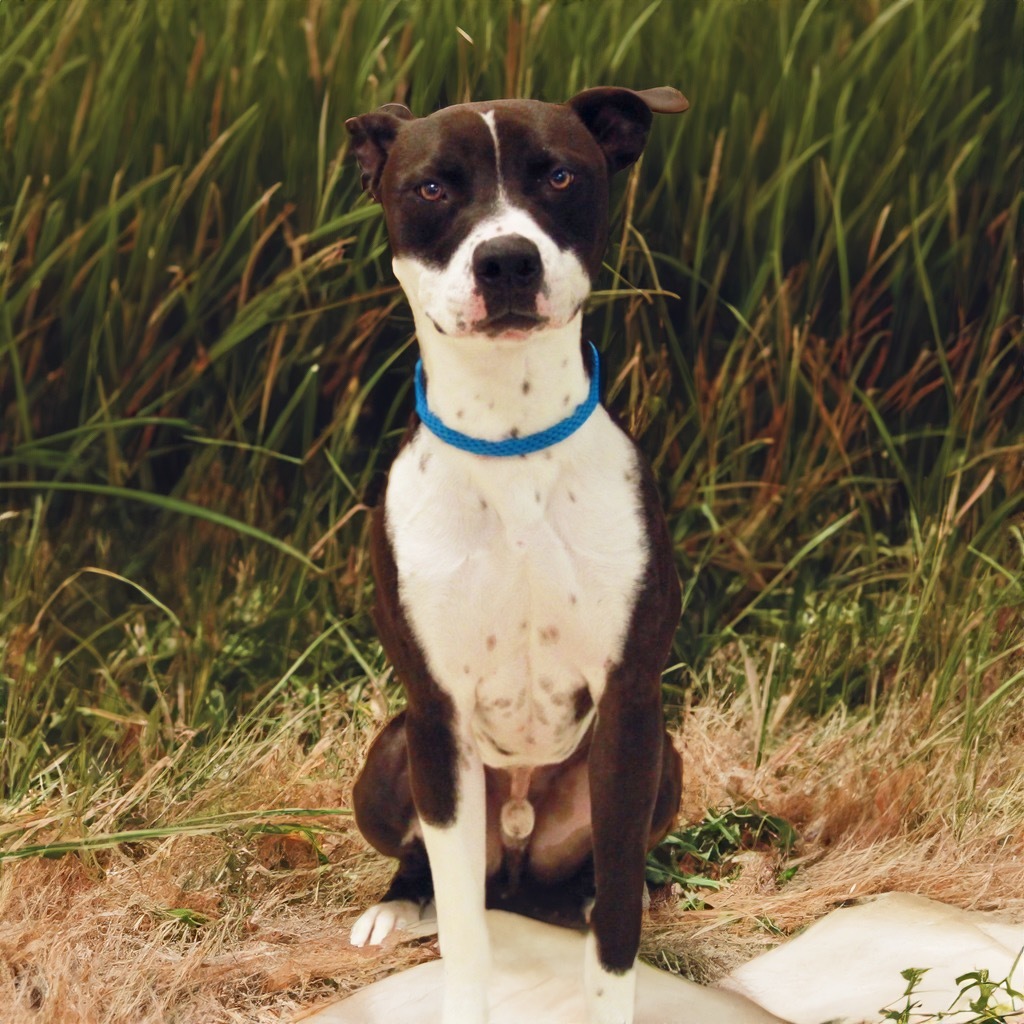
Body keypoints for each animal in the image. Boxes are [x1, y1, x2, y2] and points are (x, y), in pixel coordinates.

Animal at [348, 88, 692, 1024]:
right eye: (432, 187)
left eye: (560, 175)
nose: (506, 260)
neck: (511, 442)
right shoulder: (437, 718)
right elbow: (465, 932)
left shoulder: (629, 706)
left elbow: (618, 919)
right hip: (390, 761)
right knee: (437, 870)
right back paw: (398, 906)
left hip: (664, 762)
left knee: (595, 880)